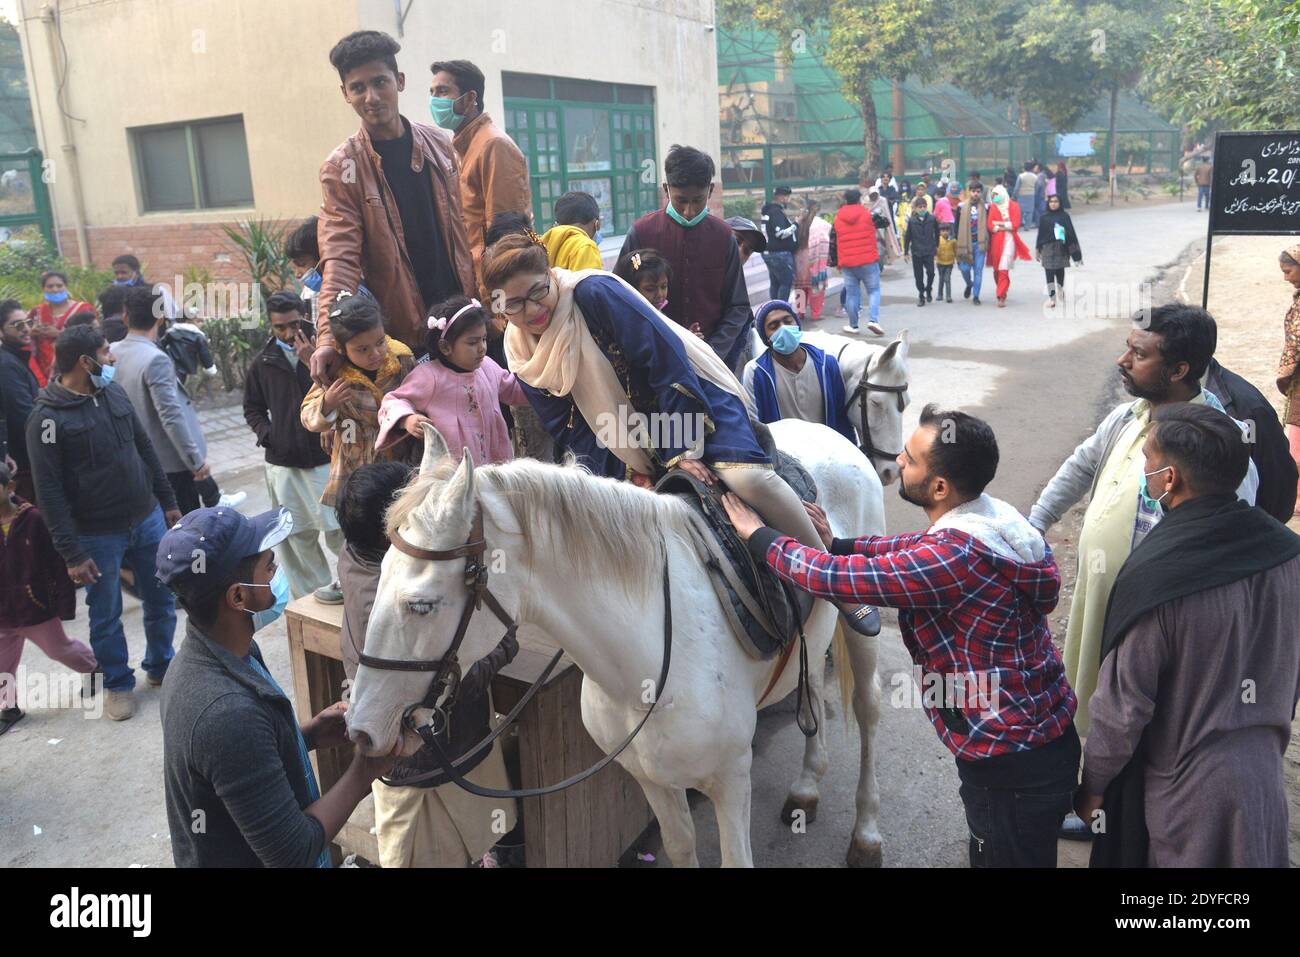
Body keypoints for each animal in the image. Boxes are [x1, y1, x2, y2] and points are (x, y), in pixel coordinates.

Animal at [348, 418, 883, 868]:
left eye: (421, 604)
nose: (361, 729)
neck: (644, 672)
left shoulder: (732, 779)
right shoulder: (650, 779)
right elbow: (680, 845)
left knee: (867, 708)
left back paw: (866, 834)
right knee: (812, 687)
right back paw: (807, 788)